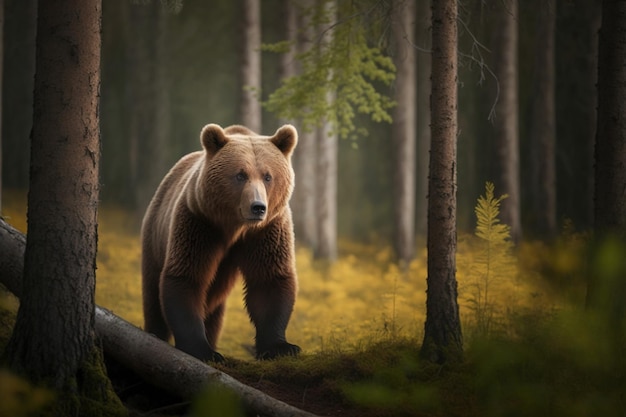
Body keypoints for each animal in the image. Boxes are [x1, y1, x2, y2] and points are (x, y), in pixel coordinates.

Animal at [140, 122, 300, 360]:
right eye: (240, 175)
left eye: (268, 176)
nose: (258, 207)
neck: (235, 227)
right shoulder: (199, 224)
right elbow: (187, 276)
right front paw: (202, 349)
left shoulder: (267, 231)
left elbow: (269, 280)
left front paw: (281, 346)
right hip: (154, 235)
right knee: (153, 295)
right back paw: (156, 332)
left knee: (214, 308)